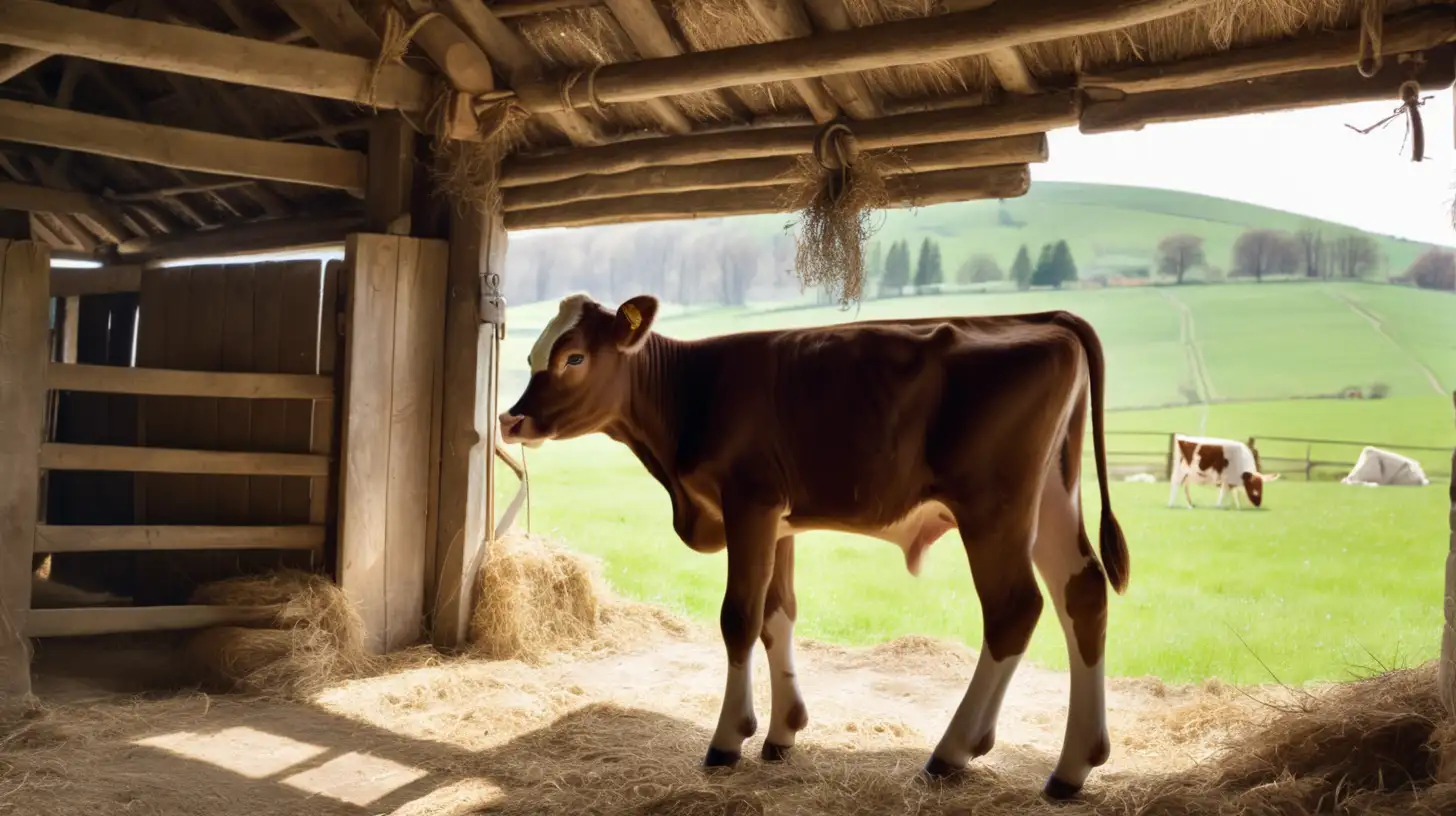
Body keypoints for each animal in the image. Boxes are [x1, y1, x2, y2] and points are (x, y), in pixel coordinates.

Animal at [506, 291, 1129, 798]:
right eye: (536, 354)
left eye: (573, 358)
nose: (513, 421)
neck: (693, 392)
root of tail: (1046, 319)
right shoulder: (778, 521)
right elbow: (777, 615)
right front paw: (783, 733)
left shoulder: (750, 503)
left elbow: (739, 617)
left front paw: (729, 739)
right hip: (1052, 497)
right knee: (1084, 595)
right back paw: (1073, 765)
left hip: (993, 508)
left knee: (1013, 609)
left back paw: (952, 753)